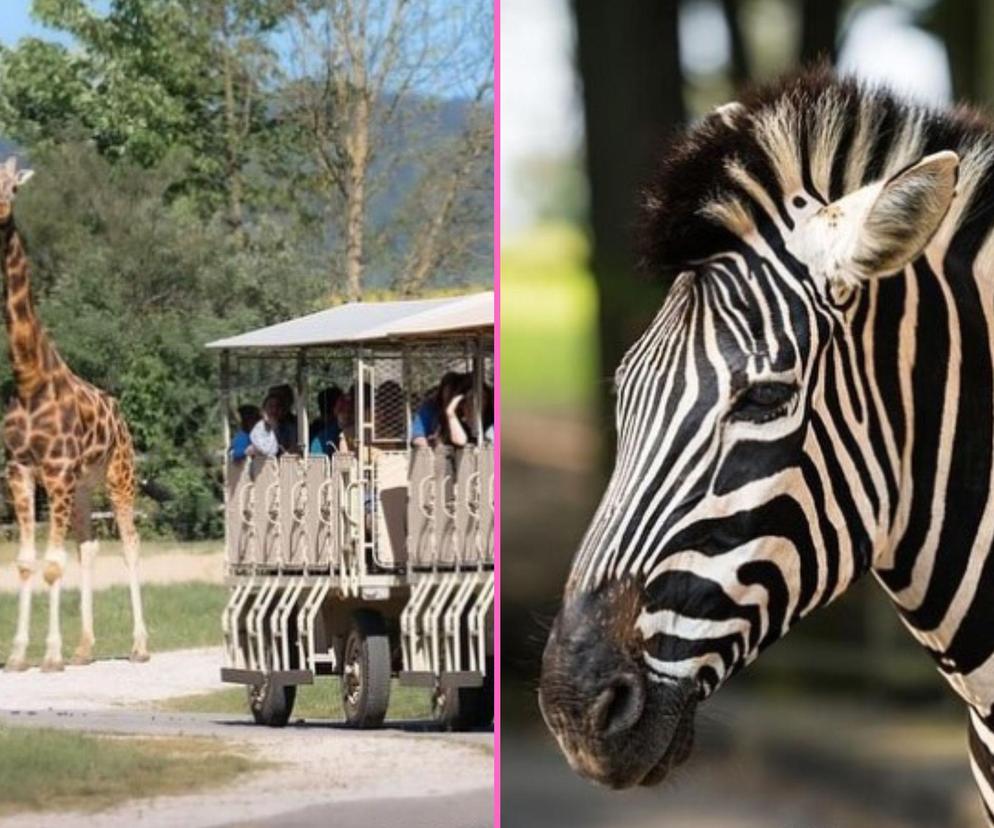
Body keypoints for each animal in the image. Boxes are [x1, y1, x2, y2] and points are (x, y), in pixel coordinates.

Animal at [0, 157, 149, 672]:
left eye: (12, 187)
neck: (29, 378)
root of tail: (120, 414)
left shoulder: (58, 472)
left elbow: (50, 565)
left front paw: (50, 655)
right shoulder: (21, 470)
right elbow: (27, 562)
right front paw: (18, 654)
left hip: (118, 475)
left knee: (130, 545)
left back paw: (140, 646)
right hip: (84, 487)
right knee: (88, 547)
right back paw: (85, 648)